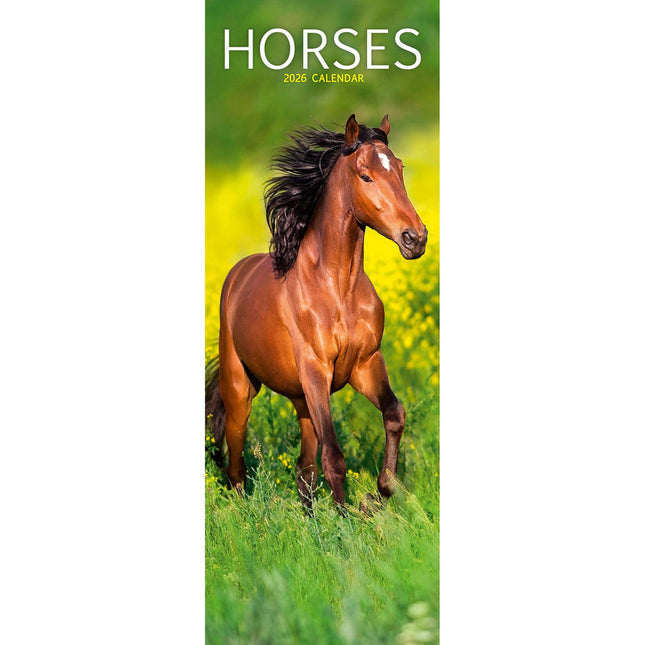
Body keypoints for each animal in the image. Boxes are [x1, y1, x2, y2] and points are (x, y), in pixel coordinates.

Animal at [206, 114, 427, 509]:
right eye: (365, 175)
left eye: (400, 168)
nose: (415, 238)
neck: (338, 289)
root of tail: (238, 273)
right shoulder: (316, 371)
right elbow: (334, 456)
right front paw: (346, 518)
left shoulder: (366, 364)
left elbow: (394, 415)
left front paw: (378, 495)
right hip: (241, 390)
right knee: (236, 465)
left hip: (301, 400)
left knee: (303, 470)